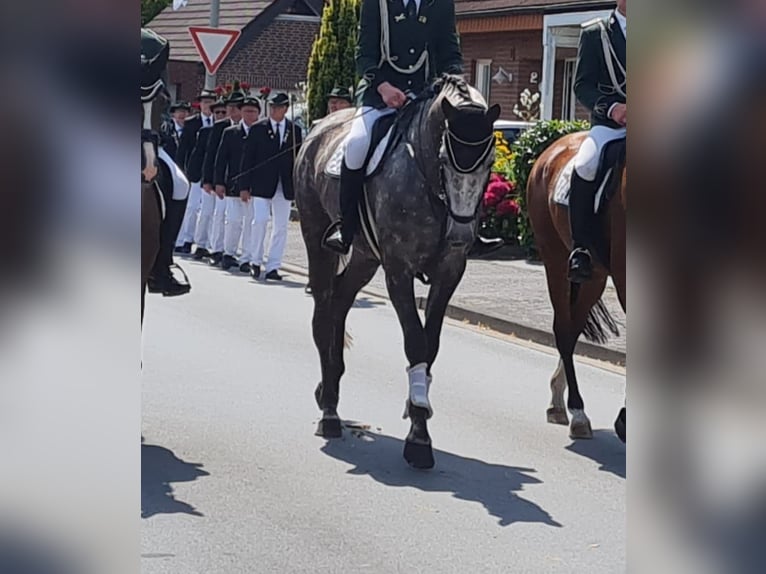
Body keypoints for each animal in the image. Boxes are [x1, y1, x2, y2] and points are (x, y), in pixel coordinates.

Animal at [296, 76, 504, 470]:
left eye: (490, 162)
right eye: (444, 159)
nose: (460, 233)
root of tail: (318, 127)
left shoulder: (450, 271)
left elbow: (430, 346)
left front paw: (417, 413)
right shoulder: (398, 269)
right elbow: (415, 341)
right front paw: (419, 438)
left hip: (364, 256)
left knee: (340, 301)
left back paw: (329, 389)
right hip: (317, 239)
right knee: (322, 312)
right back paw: (329, 413)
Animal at [528, 134, 632, 446]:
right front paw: (625, 421)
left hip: (594, 278)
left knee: (573, 329)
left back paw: (558, 401)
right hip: (555, 260)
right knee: (564, 331)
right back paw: (577, 414)